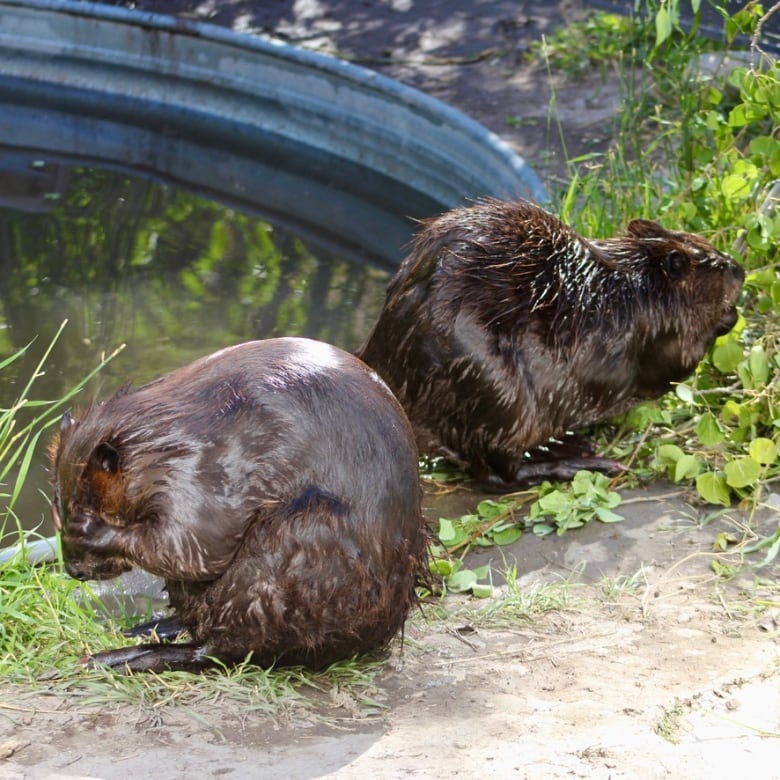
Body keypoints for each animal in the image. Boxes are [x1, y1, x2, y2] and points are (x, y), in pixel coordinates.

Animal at [48, 338, 426, 672]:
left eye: (90, 502)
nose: (74, 570)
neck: (156, 441)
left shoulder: (200, 472)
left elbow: (194, 548)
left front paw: (89, 529)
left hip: (298, 543)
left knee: (222, 650)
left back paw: (105, 659)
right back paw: (151, 628)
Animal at [358, 197, 744, 488]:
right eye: (717, 264)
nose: (739, 267)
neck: (632, 290)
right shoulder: (650, 333)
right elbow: (674, 365)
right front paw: (729, 316)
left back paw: (571, 442)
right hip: (498, 395)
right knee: (497, 474)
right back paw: (583, 462)